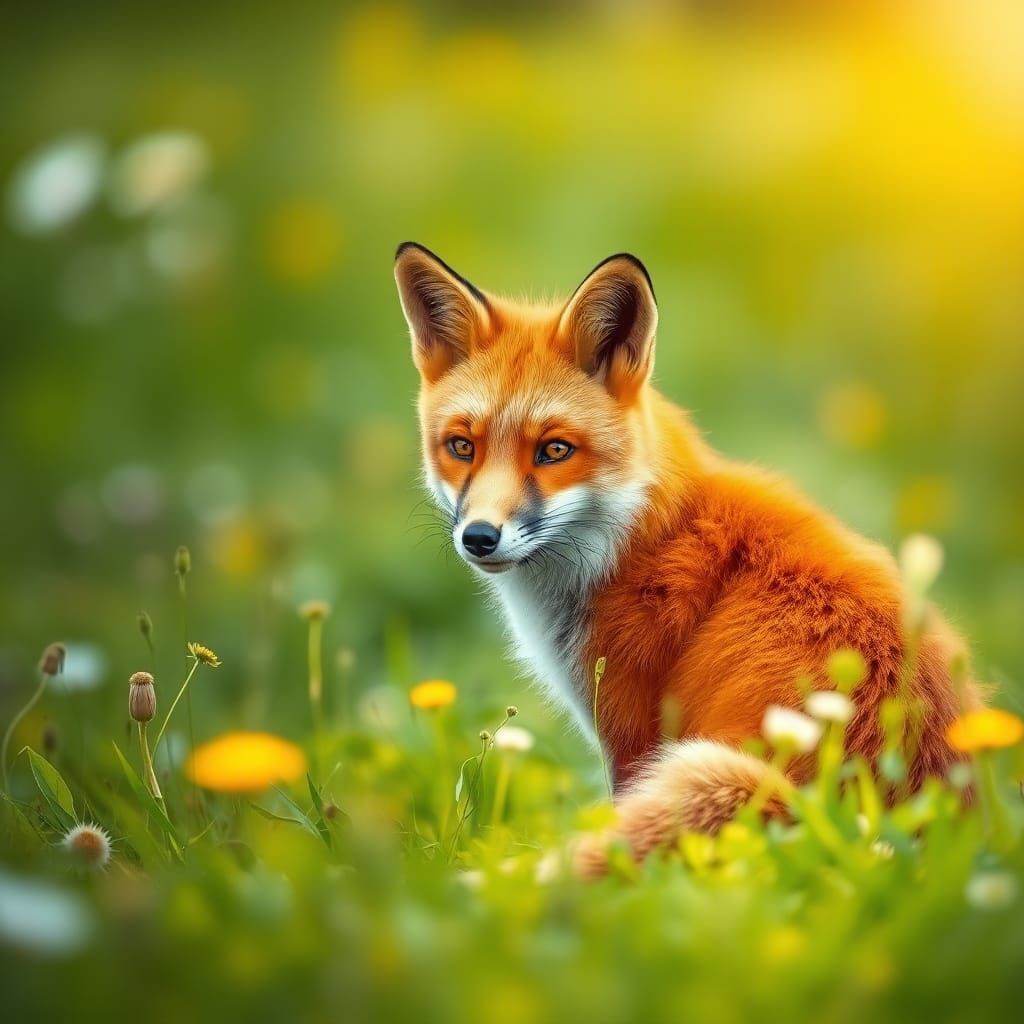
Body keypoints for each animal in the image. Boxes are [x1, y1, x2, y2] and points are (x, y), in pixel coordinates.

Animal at [393, 242, 980, 877]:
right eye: (461, 447)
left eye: (554, 451)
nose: (479, 536)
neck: (636, 537)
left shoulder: (629, 732)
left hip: (710, 772)